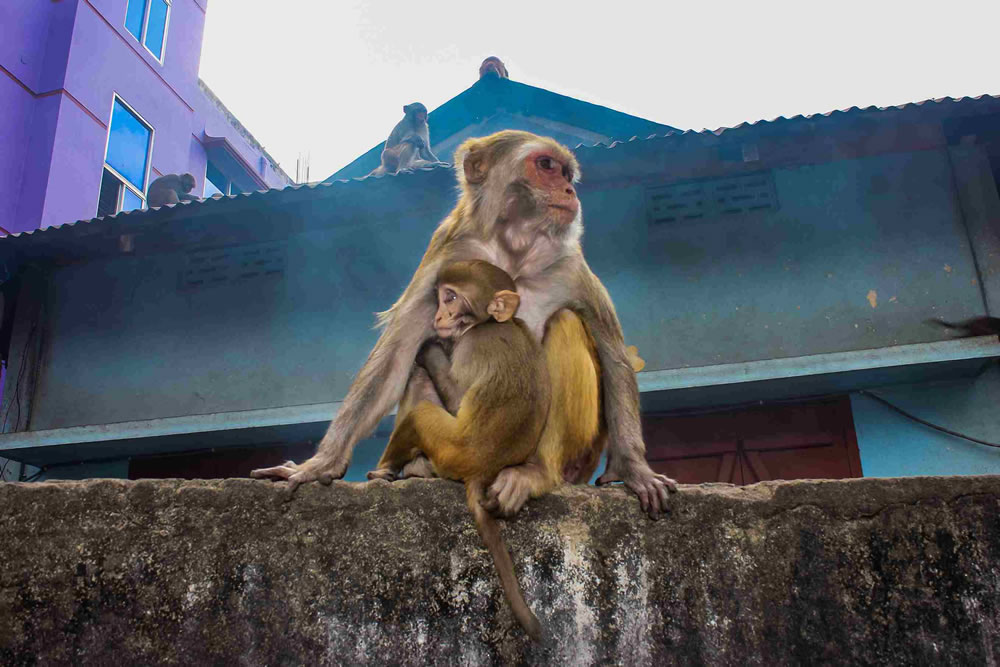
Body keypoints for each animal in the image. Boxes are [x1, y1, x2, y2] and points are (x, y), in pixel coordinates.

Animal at [372, 260, 552, 640]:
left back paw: (389, 468)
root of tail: (480, 469)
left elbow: (457, 402)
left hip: (451, 449)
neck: (490, 323)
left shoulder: (471, 344)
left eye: (451, 297)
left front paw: (430, 348)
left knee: (422, 413)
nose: (439, 314)